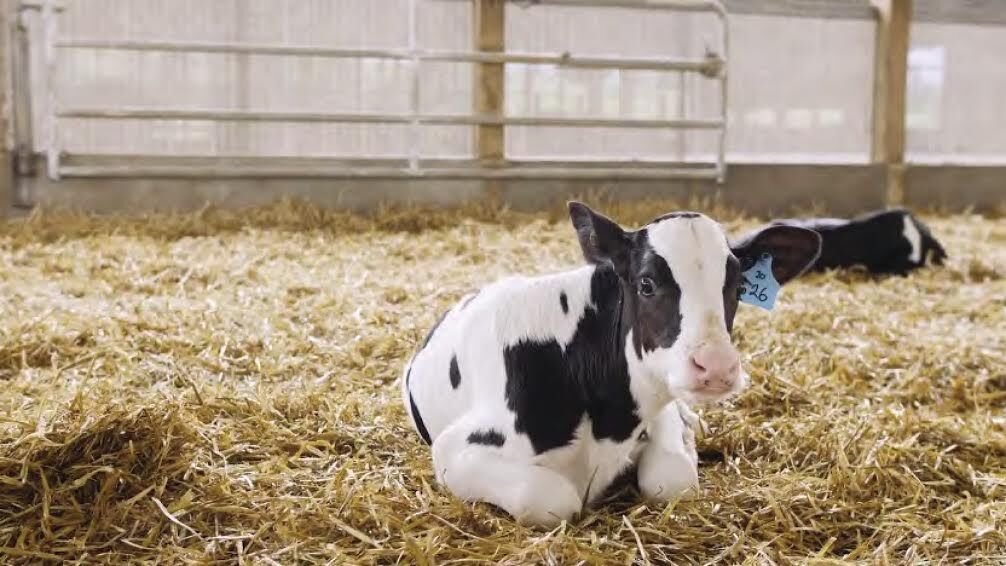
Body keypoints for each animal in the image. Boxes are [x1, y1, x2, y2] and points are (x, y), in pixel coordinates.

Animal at [401, 202, 822, 526]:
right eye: (646, 283)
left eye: (737, 286)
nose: (716, 367)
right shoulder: (455, 451)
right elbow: (550, 497)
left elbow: (671, 479)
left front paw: (686, 440)